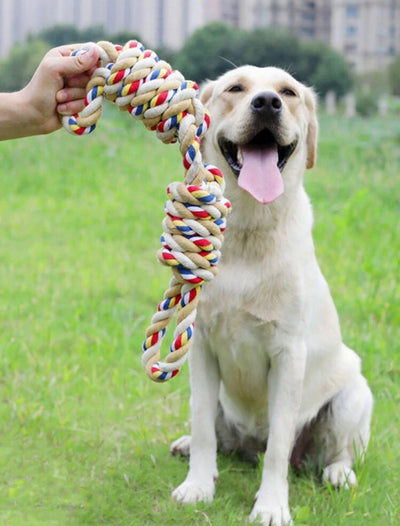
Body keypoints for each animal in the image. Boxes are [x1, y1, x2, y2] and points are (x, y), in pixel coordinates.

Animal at [169, 67, 372, 526]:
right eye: (235, 88)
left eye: (288, 92)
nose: (267, 104)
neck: (249, 230)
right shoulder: (202, 346)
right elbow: (203, 424)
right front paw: (198, 486)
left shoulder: (288, 354)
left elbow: (279, 445)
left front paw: (271, 506)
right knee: (218, 435)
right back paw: (192, 448)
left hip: (353, 395)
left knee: (334, 454)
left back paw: (338, 474)